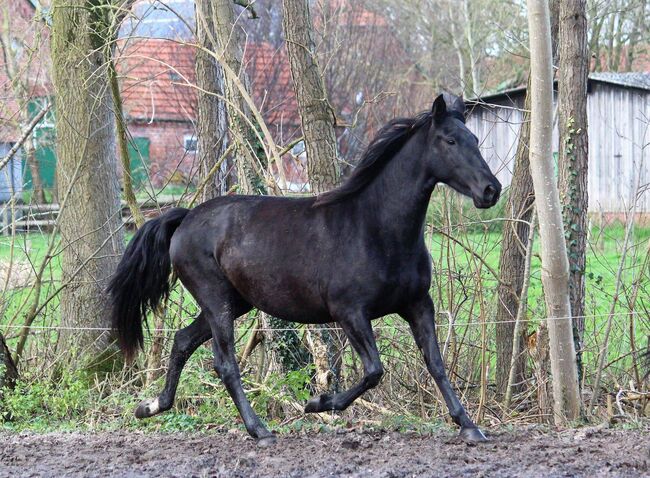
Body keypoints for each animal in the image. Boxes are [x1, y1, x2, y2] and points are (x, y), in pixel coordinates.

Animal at [107, 93, 502, 444]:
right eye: (449, 140)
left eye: (474, 139)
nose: (491, 190)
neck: (376, 229)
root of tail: (186, 216)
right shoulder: (349, 312)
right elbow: (374, 370)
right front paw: (317, 403)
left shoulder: (418, 304)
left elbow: (435, 363)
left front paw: (469, 427)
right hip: (217, 301)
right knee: (226, 364)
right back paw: (259, 430)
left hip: (236, 303)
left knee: (182, 341)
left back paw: (151, 406)